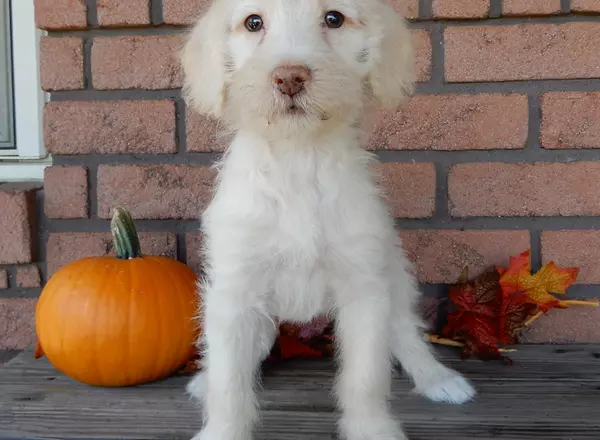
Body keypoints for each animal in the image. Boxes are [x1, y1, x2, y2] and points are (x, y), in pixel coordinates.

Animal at [180, 0, 476, 438]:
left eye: (333, 18)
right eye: (253, 22)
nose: (290, 77)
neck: (298, 157)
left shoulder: (364, 287)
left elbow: (366, 378)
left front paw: (373, 430)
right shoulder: (234, 291)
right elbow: (230, 383)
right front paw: (223, 430)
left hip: (395, 276)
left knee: (405, 332)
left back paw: (437, 378)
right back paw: (204, 378)